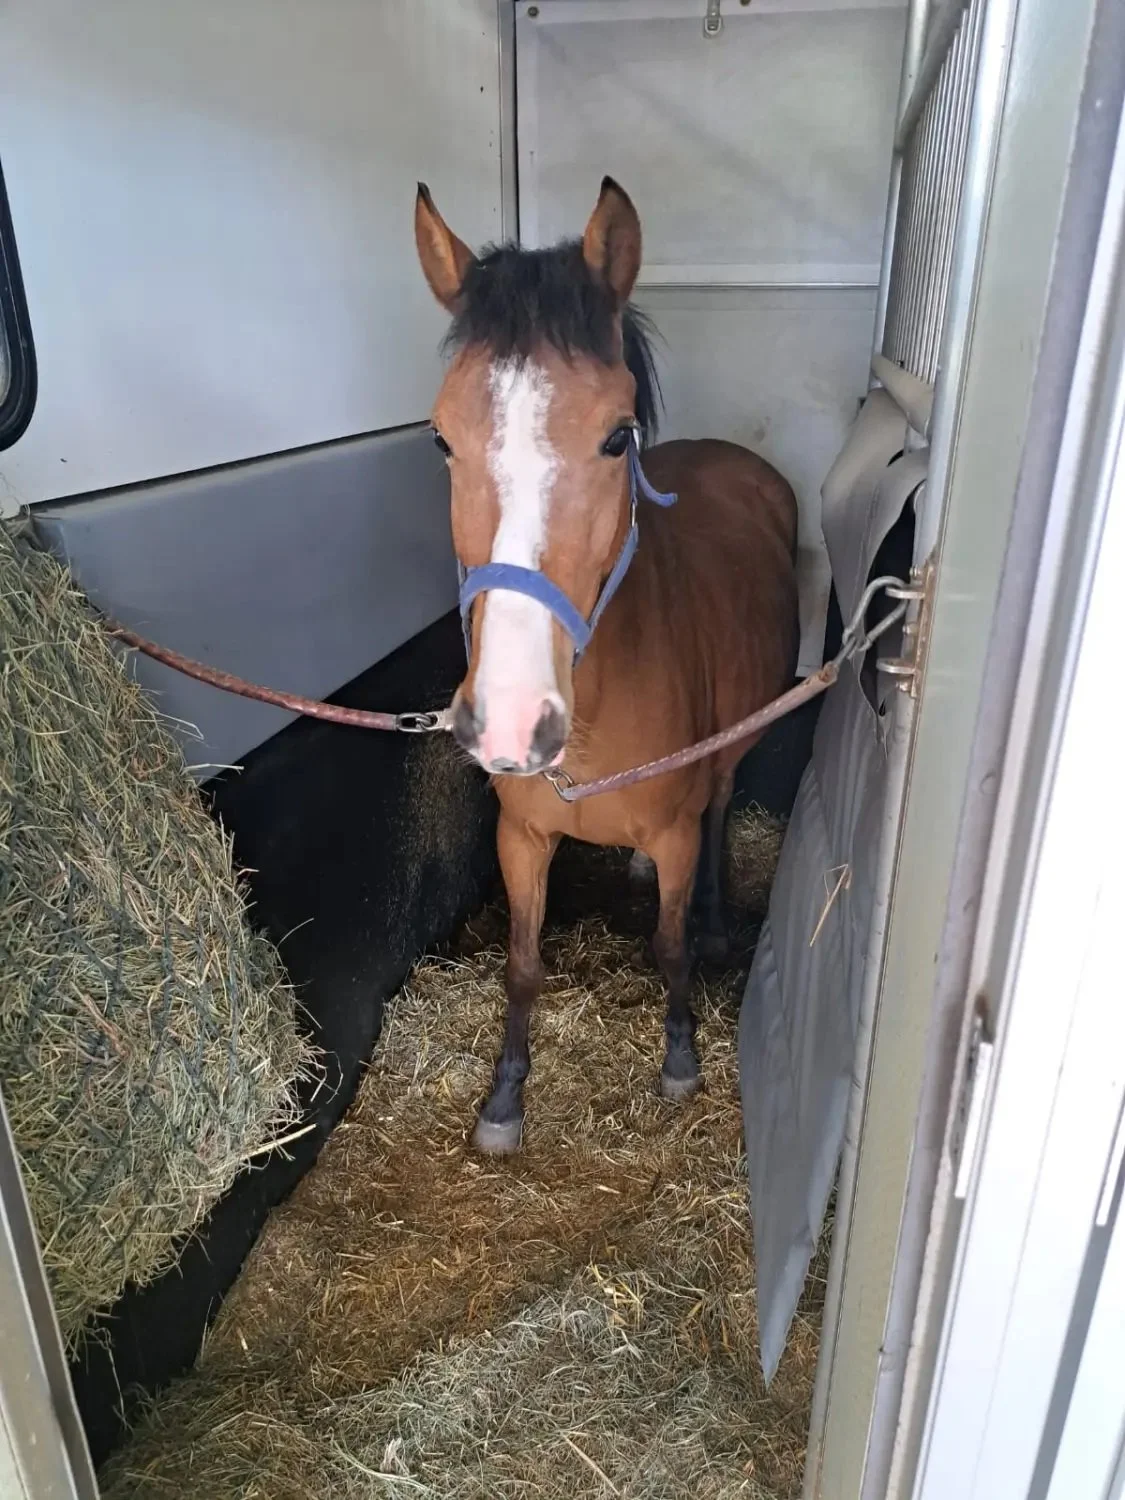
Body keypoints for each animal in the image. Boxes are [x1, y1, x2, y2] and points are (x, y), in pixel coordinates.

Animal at [415, 176, 800, 1153]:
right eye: (440, 440)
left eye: (617, 437)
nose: (511, 720)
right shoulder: (520, 838)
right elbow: (520, 965)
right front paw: (503, 1101)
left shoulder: (672, 830)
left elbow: (665, 944)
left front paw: (679, 1058)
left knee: (719, 807)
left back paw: (713, 918)